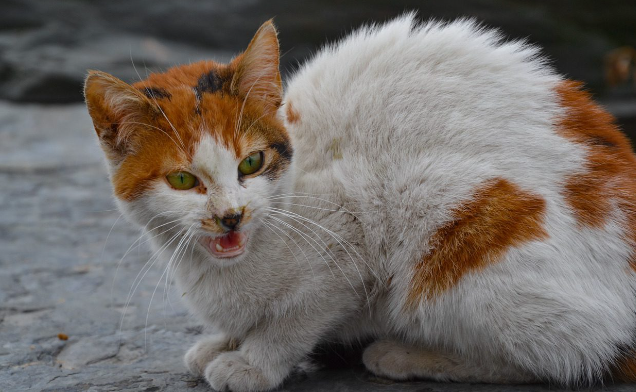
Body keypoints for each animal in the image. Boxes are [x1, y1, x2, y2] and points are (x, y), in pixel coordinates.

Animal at [85, 14, 636, 392]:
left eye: (251, 163)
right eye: (182, 179)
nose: (230, 215)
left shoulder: (349, 232)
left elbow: (297, 317)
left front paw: (255, 360)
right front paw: (225, 341)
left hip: (445, 209)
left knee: (569, 354)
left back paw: (409, 355)